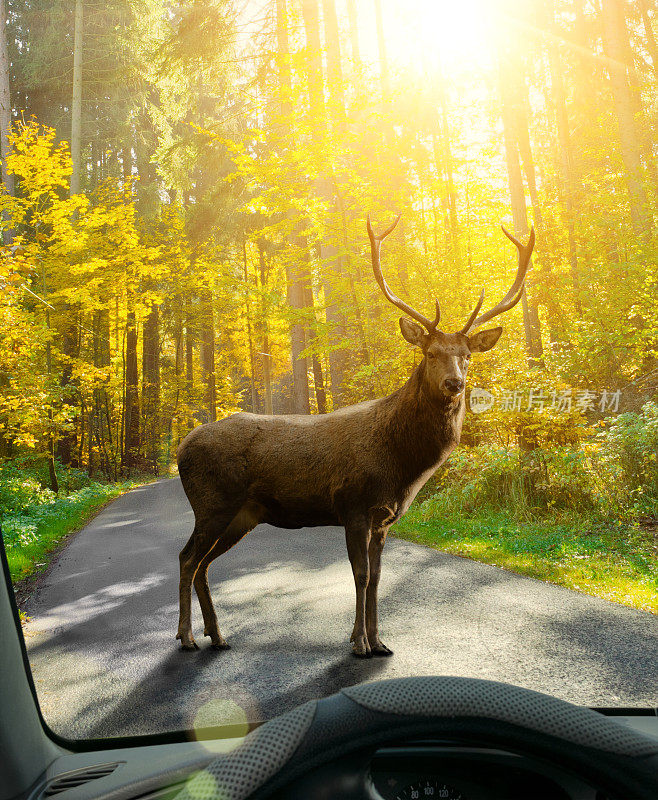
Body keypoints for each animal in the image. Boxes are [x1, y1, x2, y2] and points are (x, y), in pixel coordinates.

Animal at [176, 217, 532, 656]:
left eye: (467, 355)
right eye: (430, 353)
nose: (455, 383)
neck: (401, 467)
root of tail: (181, 448)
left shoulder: (384, 518)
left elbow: (377, 576)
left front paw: (380, 640)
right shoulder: (352, 504)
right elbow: (360, 575)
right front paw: (359, 642)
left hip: (241, 514)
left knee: (203, 563)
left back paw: (217, 634)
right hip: (212, 503)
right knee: (187, 558)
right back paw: (187, 636)